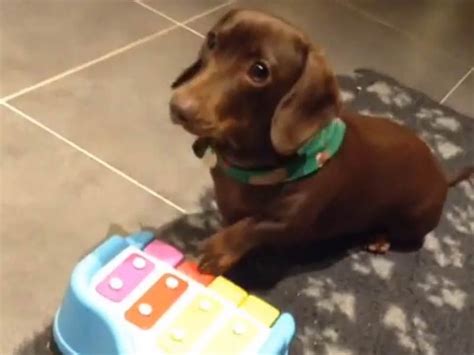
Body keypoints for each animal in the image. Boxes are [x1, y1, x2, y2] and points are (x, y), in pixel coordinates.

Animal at [168, 9, 472, 276]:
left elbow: (252, 226)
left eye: (259, 71)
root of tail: (442, 177)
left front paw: (216, 251)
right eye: (212, 41)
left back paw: (379, 238)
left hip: (412, 221)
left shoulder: (289, 221)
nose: (178, 107)